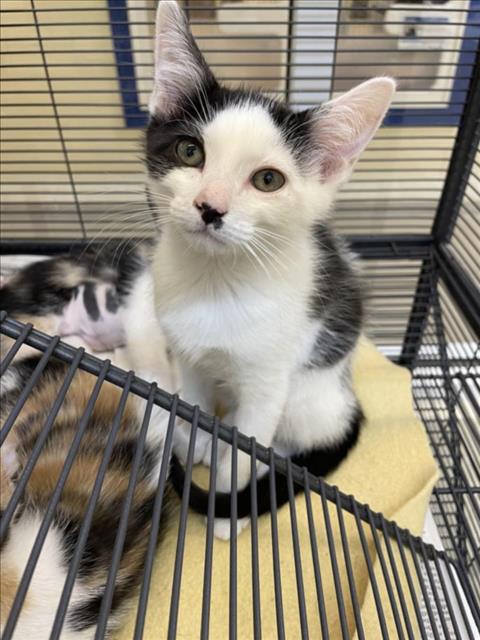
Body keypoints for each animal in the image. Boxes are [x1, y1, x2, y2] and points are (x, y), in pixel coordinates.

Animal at [138, 1, 394, 536]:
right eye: (189, 151)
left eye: (268, 180)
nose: (209, 207)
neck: (215, 282)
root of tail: (350, 401)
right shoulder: (186, 356)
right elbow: (193, 404)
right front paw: (194, 440)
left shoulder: (268, 383)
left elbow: (247, 449)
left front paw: (226, 511)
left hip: (307, 391)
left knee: (288, 445)